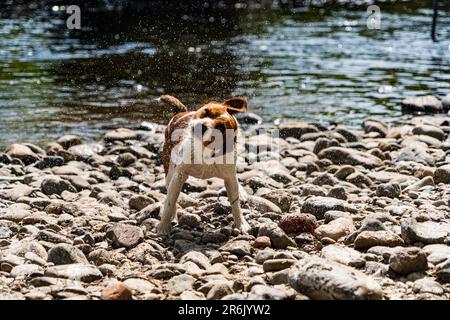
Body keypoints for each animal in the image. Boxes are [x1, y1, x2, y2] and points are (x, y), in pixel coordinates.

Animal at [156, 94, 251, 235]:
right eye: (205, 111)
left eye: (220, 127)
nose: (203, 126)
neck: (204, 149)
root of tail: (181, 112)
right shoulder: (178, 176)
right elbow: (170, 201)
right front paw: (163, 226)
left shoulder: (230, 177)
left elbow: (235, 203)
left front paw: (241, 224)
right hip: (169, 169)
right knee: (169, 190)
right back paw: (173, 216)